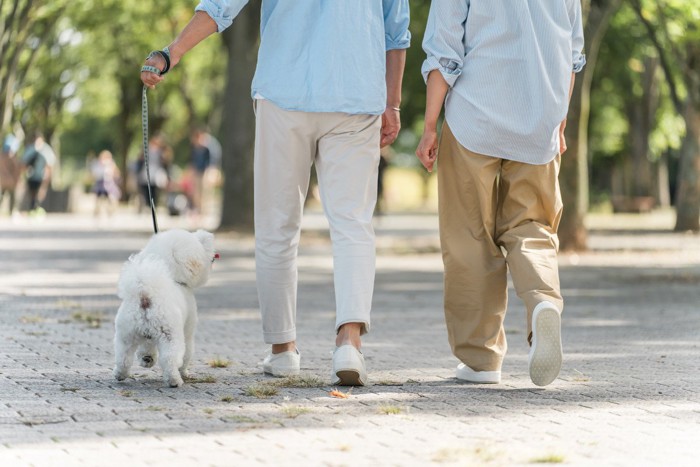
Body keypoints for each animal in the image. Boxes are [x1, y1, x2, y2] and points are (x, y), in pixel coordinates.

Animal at [113, 229, 217, 388]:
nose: (212, 259)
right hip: (170, 335)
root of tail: (145, 296)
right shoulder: (188, 329)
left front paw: (147, 359)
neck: (174, 277)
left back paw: (120, 374)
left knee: (123, 356)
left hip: (126, 334)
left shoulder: (147, 336)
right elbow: (187, 354)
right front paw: (184, 372)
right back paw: (174, 380)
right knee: (170, 358)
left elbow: (147, 348)